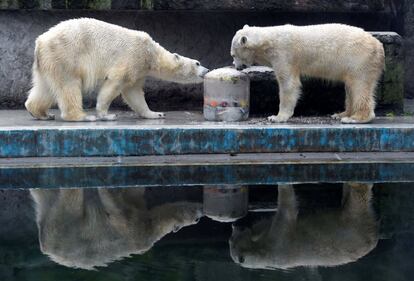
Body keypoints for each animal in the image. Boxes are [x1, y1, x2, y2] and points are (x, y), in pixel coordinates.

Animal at [24, 18, 209, 121]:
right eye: (197, 63)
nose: (207, 71)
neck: (151, 53)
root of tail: (40, 42)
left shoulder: (139, 70)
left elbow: (134, 93)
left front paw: (156, 113)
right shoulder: (133, 57)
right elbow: (116, 83)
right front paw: (106, 115)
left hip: (49, 61)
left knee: (45, 87)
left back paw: (42, 113)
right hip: (66, 55)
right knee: (69, 85)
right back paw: (83, 116)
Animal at [29, 187, 203, 268]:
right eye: (196, 219)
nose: (201, 211)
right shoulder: (137, 230)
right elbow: (117, 209)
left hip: (57, 223)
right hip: (66, 230)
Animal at [230, 24, 384, 123]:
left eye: (233, 55)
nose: (237, 67)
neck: (267, 41)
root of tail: (378, 46)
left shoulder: (283, 54)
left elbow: (288, 84)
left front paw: (277, 117)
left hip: (359, 59)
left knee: (359, 86)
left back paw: (354, 118)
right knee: (351, 87)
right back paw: (340, 114)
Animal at [230, 183, 378, 268]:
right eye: (231, 241)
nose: (236, 226)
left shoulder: (276, 241)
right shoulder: (276, 240)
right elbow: (286, 212)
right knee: (355, 202)